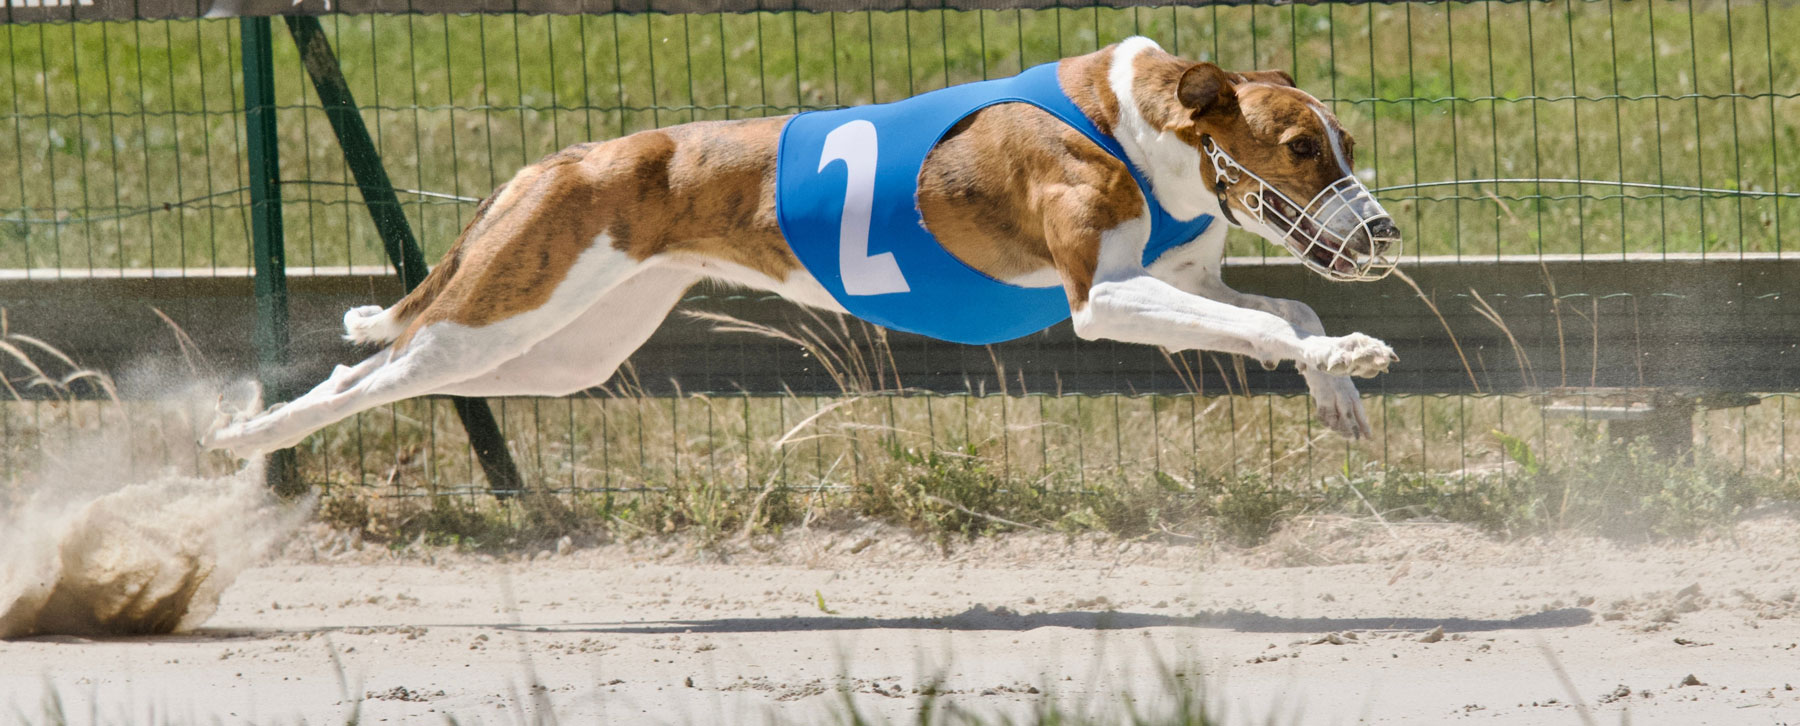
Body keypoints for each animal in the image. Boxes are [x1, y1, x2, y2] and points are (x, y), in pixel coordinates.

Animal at [200, 36, 1404, 453]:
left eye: (1346, 142)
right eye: (1301, 147)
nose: (1385, 232)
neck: (1134, 124)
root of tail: (558, 160)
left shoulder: (1176, 282)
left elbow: (1285, 309)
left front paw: (1337, 387)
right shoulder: (1103, 302)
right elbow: (1270, 319)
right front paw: (1352, 355)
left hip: (565, 348)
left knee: (389, 375)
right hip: (507, 309)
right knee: (379, 372)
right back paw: (235, 440)